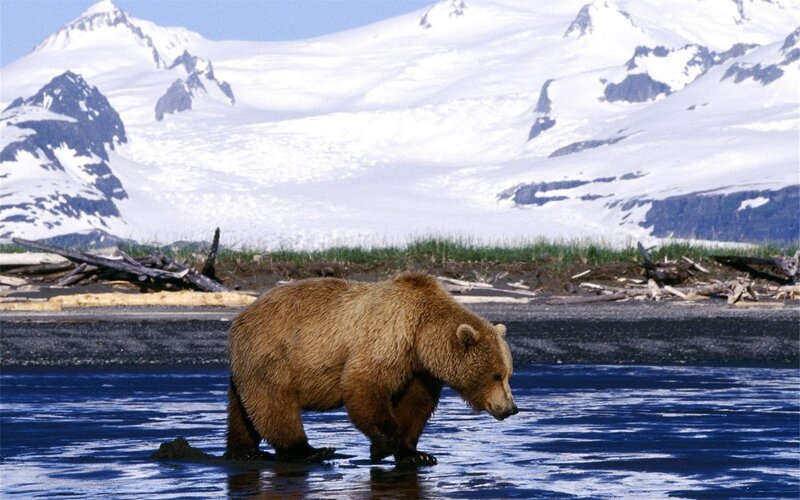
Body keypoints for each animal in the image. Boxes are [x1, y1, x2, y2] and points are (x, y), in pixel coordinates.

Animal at [225, 272, 517, 466]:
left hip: (249, 364)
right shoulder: (388, 340)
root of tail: (240, 317)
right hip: (273, 355)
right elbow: (364, 384)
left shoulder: (420, 370)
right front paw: (383, 446)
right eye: (495, 375)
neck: (421, 335)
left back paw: (244, 450)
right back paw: (310, 450)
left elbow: (416, 405)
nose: (511, 408)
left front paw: (416, 454)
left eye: (508, 374)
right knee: (274, 403)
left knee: (243, 409)